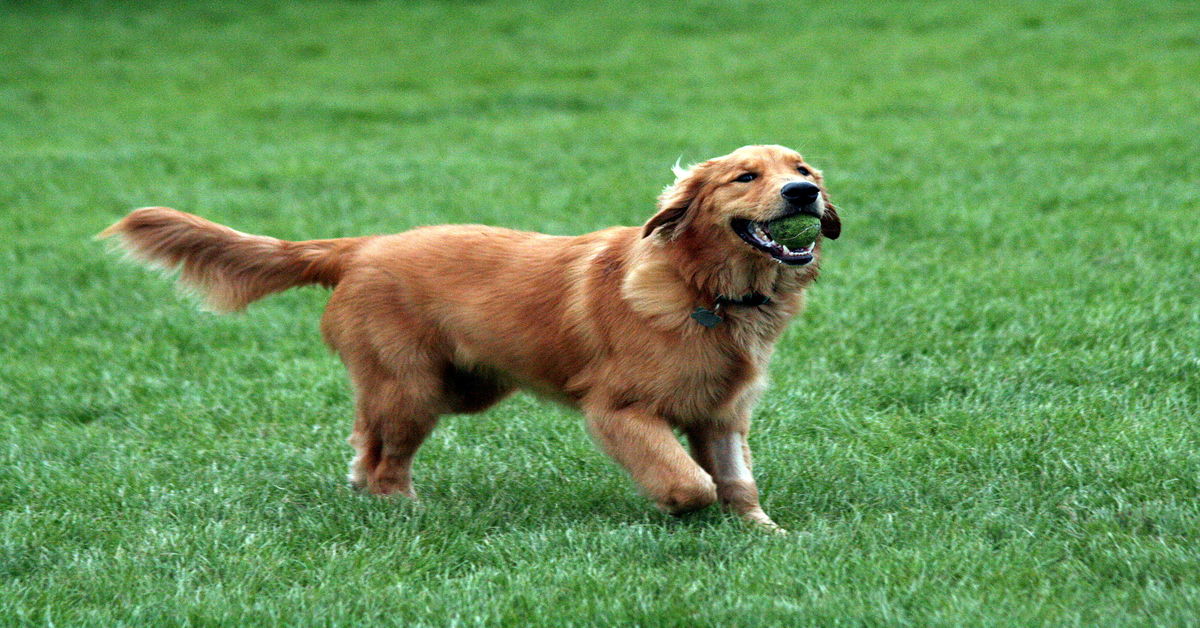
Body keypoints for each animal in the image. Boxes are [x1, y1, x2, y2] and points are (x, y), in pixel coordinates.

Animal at [103, 143, 844, 530]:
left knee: (365, 437)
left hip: (461, 387)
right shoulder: (618, 410)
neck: (707, 291)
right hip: (415, 387)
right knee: (387, 458)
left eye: (804, 168)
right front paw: (680, 506)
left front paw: (763, 533)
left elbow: (736, 482)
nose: (803, 194)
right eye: (746, 176)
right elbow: (687, 480)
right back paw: (403, 507)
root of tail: (361, 246)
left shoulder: (723, 415)